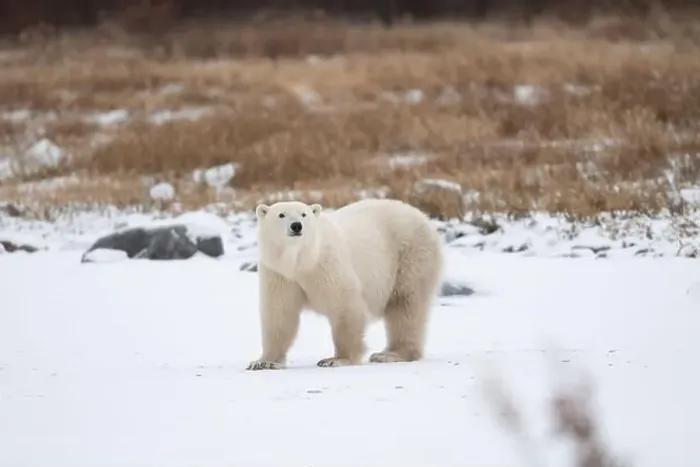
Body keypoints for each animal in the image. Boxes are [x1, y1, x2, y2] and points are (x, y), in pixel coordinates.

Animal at [246, 198, 445, 370]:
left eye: (304, 214)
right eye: (281, 214)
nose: (296, 226)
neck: (301, 261)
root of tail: (423, 216)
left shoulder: (326, 264)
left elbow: (345, 306)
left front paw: (336, 359)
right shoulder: (279, 274)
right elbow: (280, 315)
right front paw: (263, 362)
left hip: (411, 256)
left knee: (405, 305)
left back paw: (390, 354)